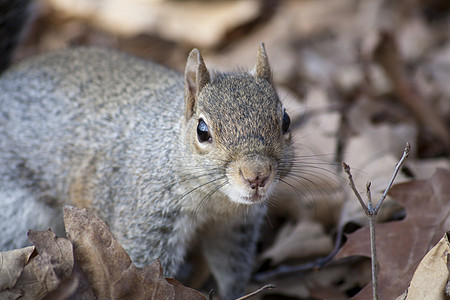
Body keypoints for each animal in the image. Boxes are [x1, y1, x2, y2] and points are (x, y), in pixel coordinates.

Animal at [0, 4, 296, 300]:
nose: (257, 175)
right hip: (16, 211)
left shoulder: (234, 229)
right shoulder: (146, 220)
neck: (216, 202)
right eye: (202, 131)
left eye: (286, 120)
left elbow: (232, 269)